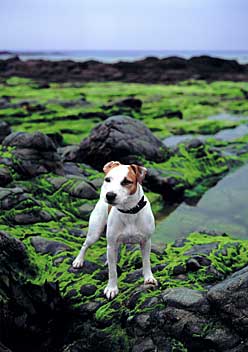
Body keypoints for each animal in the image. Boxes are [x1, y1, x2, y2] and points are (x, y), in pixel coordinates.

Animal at [72, 161, 157, 298]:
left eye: (126, 181)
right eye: (108, 179)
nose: (110, 195)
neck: (129, 211)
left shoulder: (146, 242)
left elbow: (146, 262)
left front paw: (149, 278)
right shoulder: (111, 244)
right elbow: (112, 271)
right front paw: (111, 288)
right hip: (94, 233)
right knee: (85, 245)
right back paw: (78, 260)